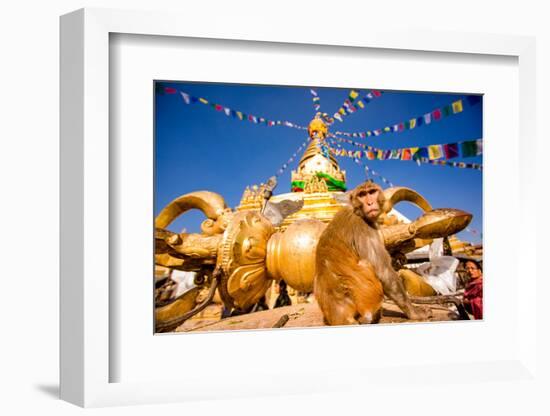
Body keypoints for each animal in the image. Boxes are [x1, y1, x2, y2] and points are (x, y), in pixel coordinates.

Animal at [312, 180, 434, 324]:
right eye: (362, 195)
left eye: (371, 192)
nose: (370, 203)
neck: (357, 211)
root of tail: (339, 313)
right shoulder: (365, 227)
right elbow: (384, 272)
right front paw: (414, 313)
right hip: (367, 298)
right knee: (366, 264)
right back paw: (370, 316)